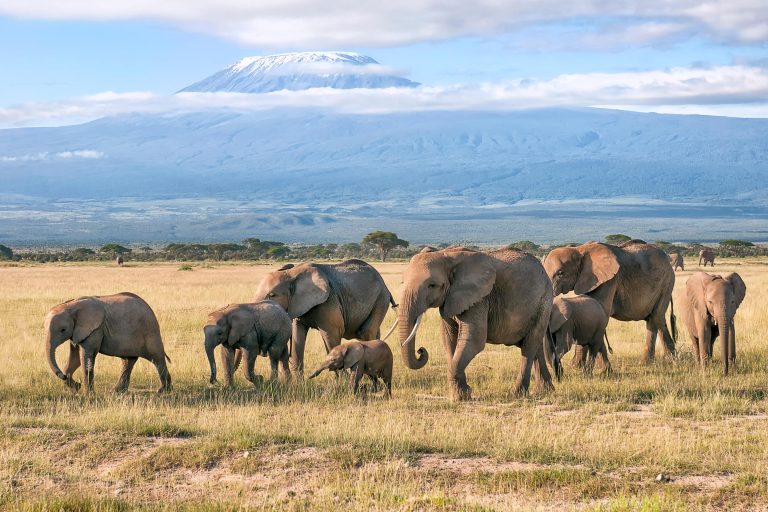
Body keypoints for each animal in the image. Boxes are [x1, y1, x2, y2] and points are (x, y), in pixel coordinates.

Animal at [255, 260, 396, 376]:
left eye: (272, 295)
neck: (292, 273)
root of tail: (385, 286)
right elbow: (297, 336)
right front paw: (299, 383)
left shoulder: (329, 301)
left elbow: (331, 335)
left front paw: (342, 384)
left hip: (380, 299)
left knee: (366, 332)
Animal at [400, 247, 556, 400]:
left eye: (432, 285)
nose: (420, 350)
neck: (446, 254)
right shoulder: (449, 300)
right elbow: (449, 340)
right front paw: (461, 394)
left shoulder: (479, 299)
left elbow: (474, 340)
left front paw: (463, 396)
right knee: (535, 345)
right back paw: (545, 391)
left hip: (544, 301)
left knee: (529, 346)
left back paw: (517, 394)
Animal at [544, 241, 676, 364]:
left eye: (560, 273)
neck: (580, 249)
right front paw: (577, 366)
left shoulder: (610, 280)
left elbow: (600, 312)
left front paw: (578, 366)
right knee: (659, 319)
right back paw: (672, 358)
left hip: (667, 282)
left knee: (654, 318)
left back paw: (646, 362)